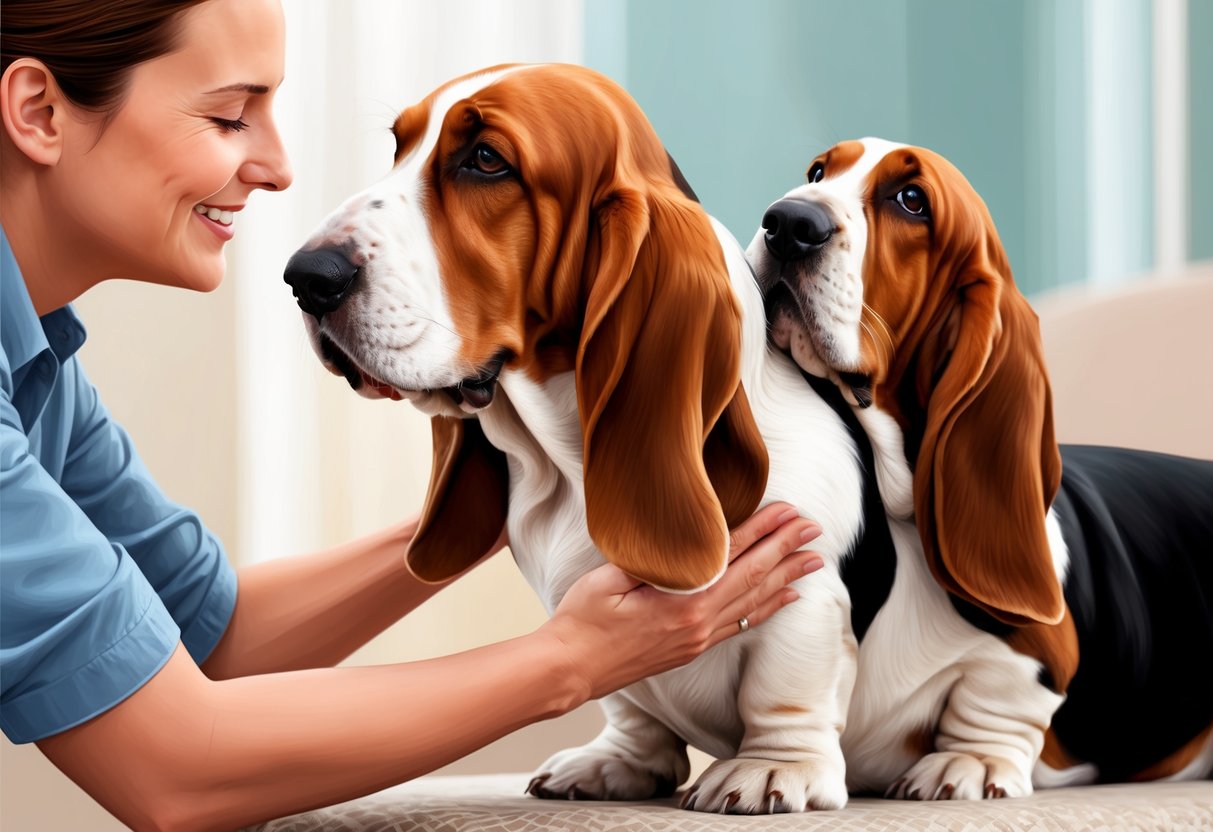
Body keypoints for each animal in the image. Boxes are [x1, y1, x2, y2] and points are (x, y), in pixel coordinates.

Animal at [747, 140, 1213, 800]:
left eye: (911, 200)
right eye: (817, 172)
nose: (787, 221)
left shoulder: (1033, 658)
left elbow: (997, 695)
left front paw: (969, 763)